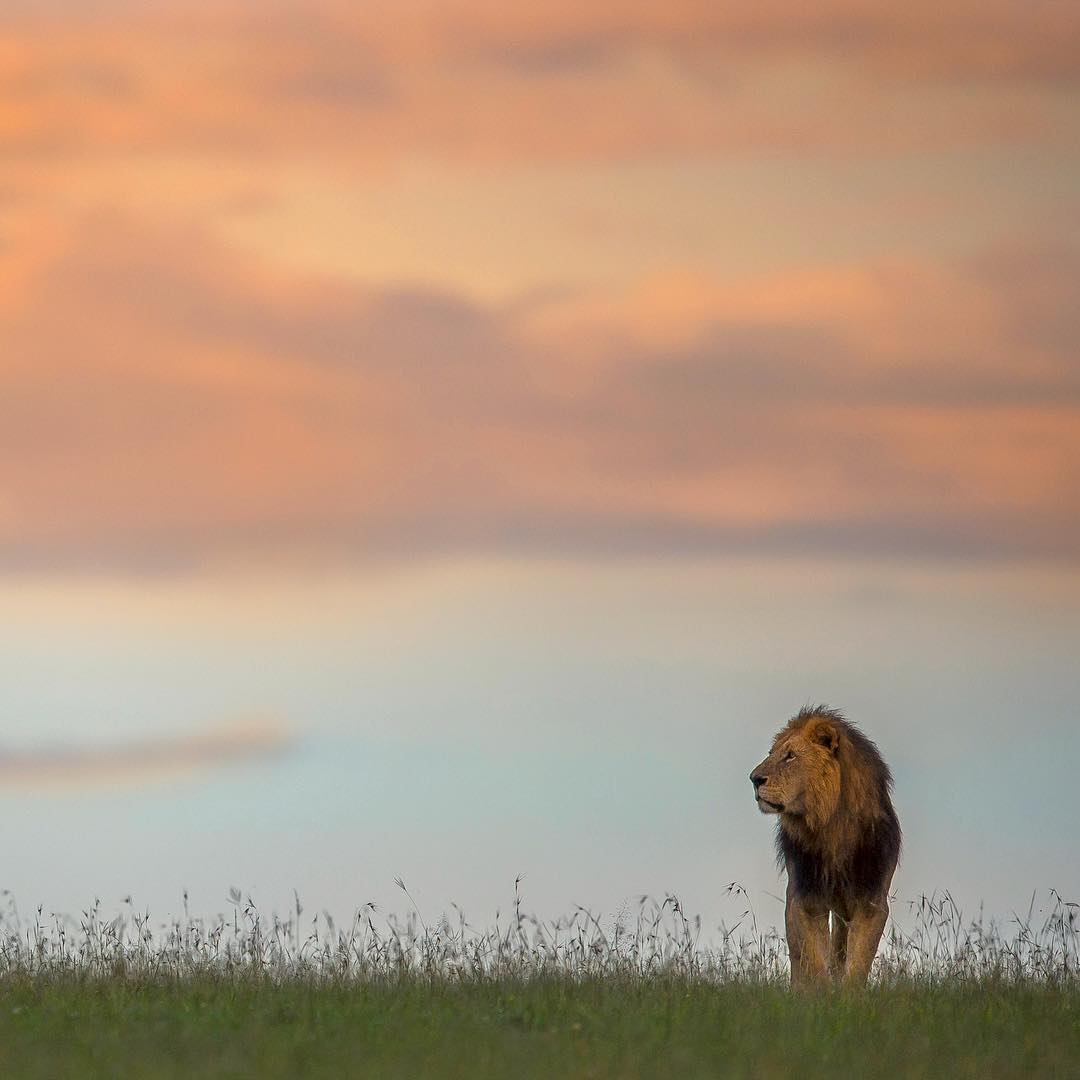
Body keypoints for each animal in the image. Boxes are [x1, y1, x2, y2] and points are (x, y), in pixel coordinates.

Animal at [747, 704, 898, 989]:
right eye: (772, 754)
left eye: (790, 756)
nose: (754, 779)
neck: (831, 827)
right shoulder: (806, 899)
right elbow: (813, 958)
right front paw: (819, 995)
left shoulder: (871, 900)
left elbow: (859, 961)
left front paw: (848, 996)